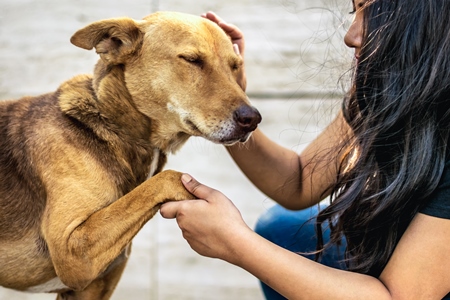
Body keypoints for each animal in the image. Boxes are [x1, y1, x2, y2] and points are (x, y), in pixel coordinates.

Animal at [0, 11, 260, 300]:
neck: (116, 126)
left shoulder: (92, 286)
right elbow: (168, 179)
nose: (253, 119)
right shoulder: (73, 250)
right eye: (193, 60)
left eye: (235, 66)